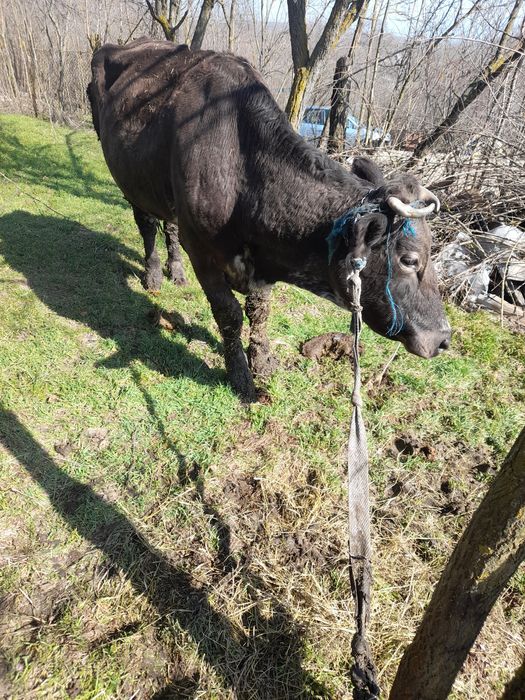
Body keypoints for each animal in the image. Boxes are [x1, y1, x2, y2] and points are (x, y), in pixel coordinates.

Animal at [87, 38, 451, 402]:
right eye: (409, 260)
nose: (443, 338)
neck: (242, 167)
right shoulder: (203, 252)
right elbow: (229, 314)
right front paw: (240, 375)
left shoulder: (266, 260)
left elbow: (259, 312)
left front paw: (262, 362)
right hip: (130, 178)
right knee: (147, 225)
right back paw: (153, 275)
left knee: (170, 225)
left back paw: (175, 270)